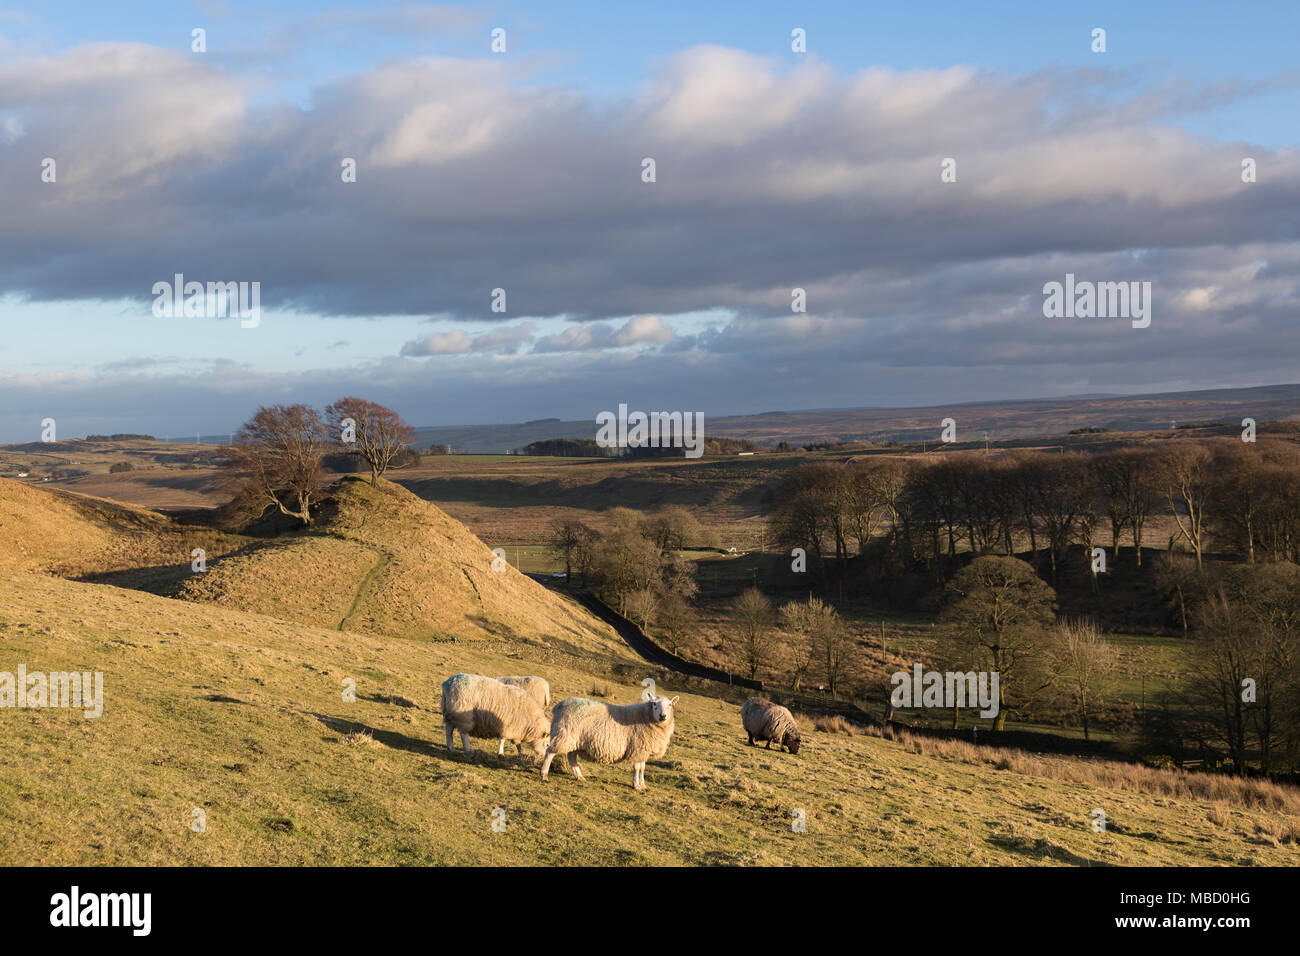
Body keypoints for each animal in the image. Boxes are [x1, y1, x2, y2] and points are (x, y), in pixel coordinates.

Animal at [538, 697, 681, 790]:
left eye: (670, 704)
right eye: (654, 704)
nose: (663, 716)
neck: (646, 716)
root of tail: (559, 706)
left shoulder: (643, 750)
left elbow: (642, 768)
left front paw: (642, 785)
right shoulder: (638, 748)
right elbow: (637, 768)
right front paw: (636, 785)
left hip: (574, 739)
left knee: (571, 757)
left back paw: (579, 776)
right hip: (564, 734)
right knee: (550, 752)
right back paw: (544, 775)